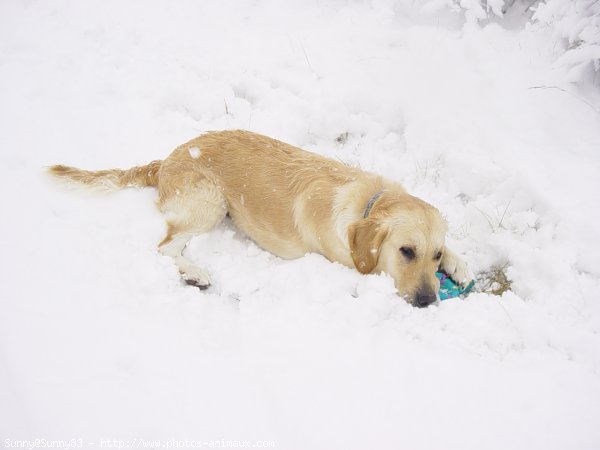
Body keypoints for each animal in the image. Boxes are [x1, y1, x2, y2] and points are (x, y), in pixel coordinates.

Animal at [50, 130, 468, 306]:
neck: (368, 202)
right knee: (166, 246)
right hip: (211, 203)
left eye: (434, 254)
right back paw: (194, 272)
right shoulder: (343, 260)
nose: (428, 300)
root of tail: (164, 160)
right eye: (405, 251)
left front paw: (460, 264)